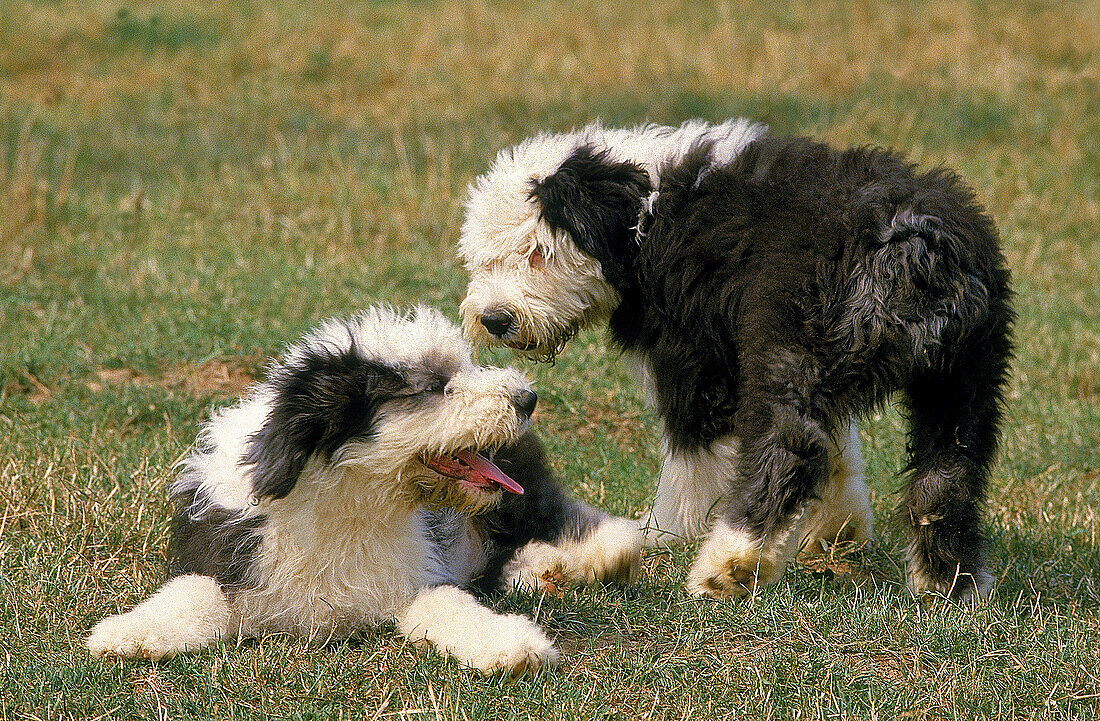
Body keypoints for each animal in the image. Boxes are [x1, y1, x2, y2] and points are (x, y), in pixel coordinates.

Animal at [88, 303, 642, 669]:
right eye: (435, 386)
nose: (528, 399)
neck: (352, 497)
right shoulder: (226, 554)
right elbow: (194, 591)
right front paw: (124, 633)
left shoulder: (417, 573)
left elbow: (448, 604)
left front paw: (512, 644)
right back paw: (539, 570)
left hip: (516, 490)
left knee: (562, 516)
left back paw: (602, 553)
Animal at [457, 124, 1012, 603]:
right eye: (482, 260)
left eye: (536, 252)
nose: (494, 319)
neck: (642, 218)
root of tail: (914, 243)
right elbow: (840, 450)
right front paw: (837, 527)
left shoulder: (693, 362)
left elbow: (692, 461)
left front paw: (662, 534)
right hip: (964, 377)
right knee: (948, 473)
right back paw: (950, 580)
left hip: (797, 349)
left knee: (789, 448)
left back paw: (728, 564)